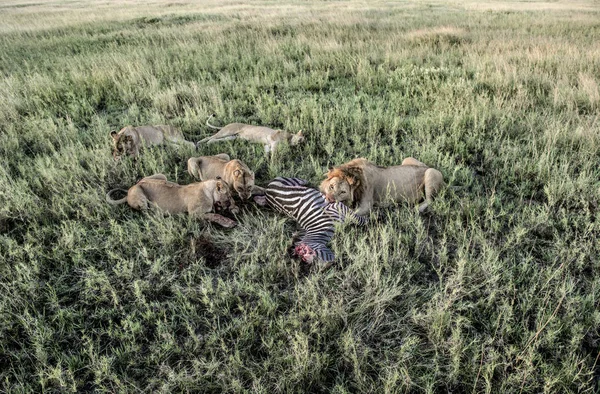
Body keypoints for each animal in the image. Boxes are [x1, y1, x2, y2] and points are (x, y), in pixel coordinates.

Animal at [106, 173, 238, 226]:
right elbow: (214, 215)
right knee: (147, 215)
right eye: (229, 196)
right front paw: (229, 222)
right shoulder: (193, 213)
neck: (209, 191)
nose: (233, 203)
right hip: (139, 195)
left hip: (161, 176)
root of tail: (129, 190)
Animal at [318, 157, 446, 215]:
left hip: (431, 173)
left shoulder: (366, 205)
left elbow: (348, 214)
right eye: (331, 187)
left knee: (430, 200)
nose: (329, 198)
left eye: (343, 192)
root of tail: (426, 167)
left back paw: (415, 209)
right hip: (407, 159)